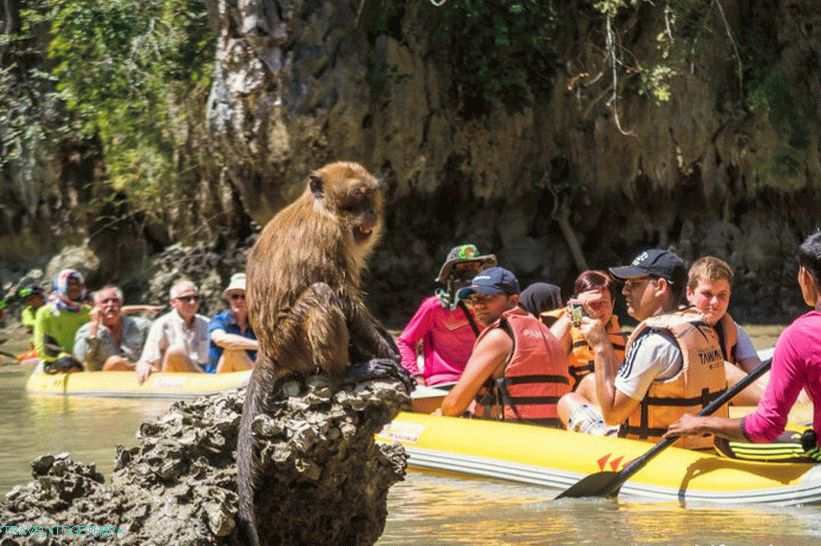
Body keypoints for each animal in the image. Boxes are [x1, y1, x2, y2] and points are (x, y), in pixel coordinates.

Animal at [235, 159, 408, 540]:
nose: (371, 212)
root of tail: (268, 347)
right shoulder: (329, 237)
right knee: (320, 294)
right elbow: (342, 296)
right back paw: (344, 373)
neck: (324, 211)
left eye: (370, 197)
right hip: (292, 341)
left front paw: (391, 345)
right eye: (355, 199)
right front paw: (388, 355)